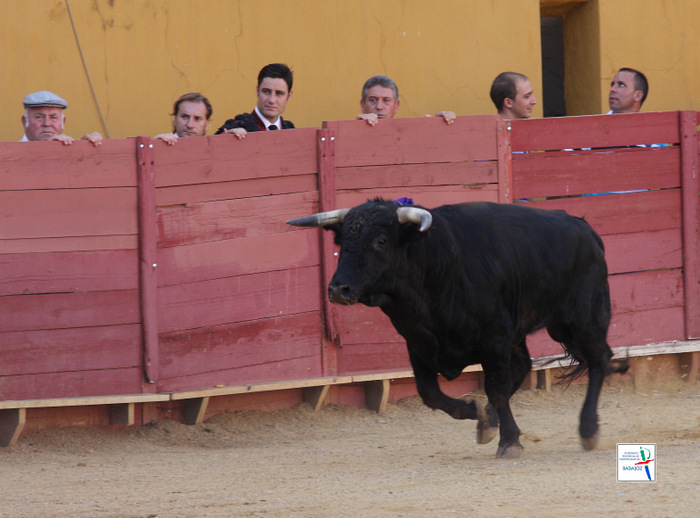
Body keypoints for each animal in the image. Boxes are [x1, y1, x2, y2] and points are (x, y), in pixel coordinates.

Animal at [288, 201, 628, 462]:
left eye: (381, 241)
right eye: (343, 242)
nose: (338, 289)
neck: (436, 264)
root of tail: (585, 228)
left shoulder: (494, 340)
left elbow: (496, 388)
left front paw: (509, 441)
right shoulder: (418, 344)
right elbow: (431, 394)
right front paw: (476, 412)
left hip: (582, 319)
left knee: (599, 359)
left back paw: (588, 429)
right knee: (525, 366)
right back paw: (488, 422)